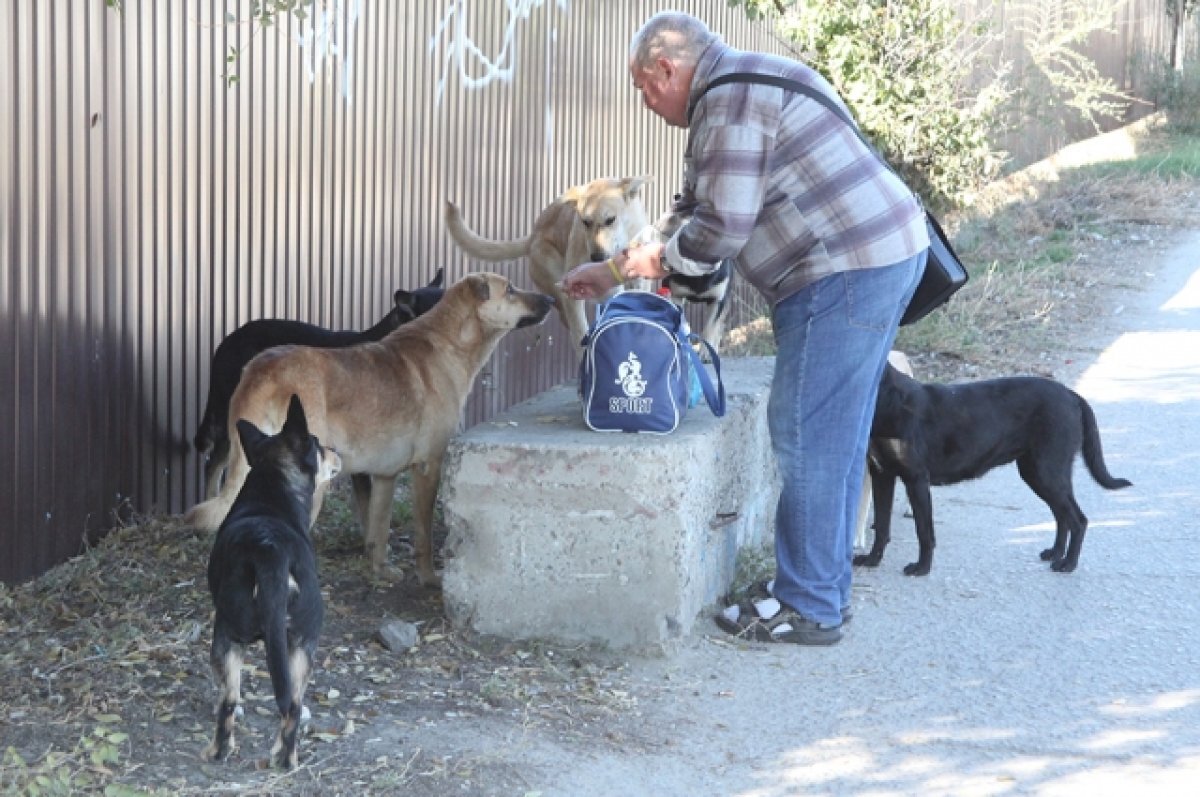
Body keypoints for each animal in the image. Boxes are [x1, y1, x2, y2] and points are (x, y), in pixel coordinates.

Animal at [201, 396, 340, 768]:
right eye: (319, 445)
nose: (336, 451)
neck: (272, 486)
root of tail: (270, 552)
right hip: (300, 643)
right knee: (287, 705)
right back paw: (284, 759)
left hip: (229, 636)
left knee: (232, 702)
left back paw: (223, 752)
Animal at [446, 177, 652, 352]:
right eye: (585, 222)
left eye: (610, 220)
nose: (596, 257)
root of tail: (532, 237)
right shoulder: (573, 296)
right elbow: (581, 335)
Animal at [859, 364, 1128, 576]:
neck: (887, 399)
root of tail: (1072, 395)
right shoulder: (882, 475)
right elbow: (881, 525)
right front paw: (872, 559)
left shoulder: (916, 479)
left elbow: (924, 531)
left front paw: (922, 568)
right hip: (1037, 473)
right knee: (1062, 516)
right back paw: (1055, 553)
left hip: (1047, 472)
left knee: (1078, 520)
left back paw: (1068, 564)